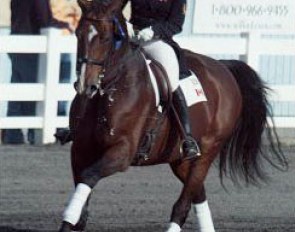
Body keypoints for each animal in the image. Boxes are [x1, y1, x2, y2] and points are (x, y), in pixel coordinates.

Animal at [57, 0, 286, 231]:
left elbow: (89, 176)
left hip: (208, 151)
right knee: (198, 193)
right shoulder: (80, 151)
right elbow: (82, 202)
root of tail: (223, 68)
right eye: (78, 34)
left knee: (183, 205)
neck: (108, 91)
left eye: (105, 37)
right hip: (180, 160)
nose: (86, 86)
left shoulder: (122, 152)